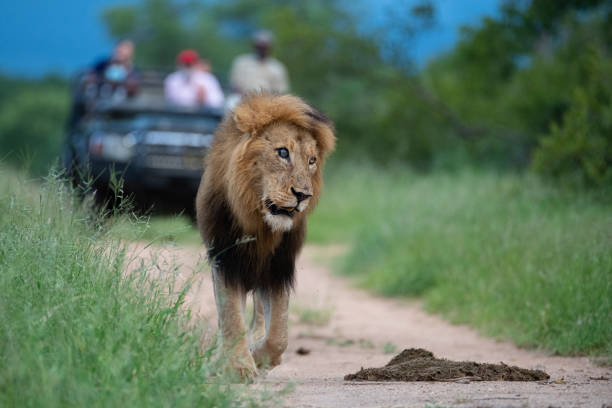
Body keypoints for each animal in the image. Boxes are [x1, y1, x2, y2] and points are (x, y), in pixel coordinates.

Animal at [196, 92, 334, 380]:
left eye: (312, 161)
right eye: (282, 152)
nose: (303, 195)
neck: (259, 223)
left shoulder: (277, 268)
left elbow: (279, 334)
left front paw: (260, 358)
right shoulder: (225, 260)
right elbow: (231, 316)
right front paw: (237, 366)